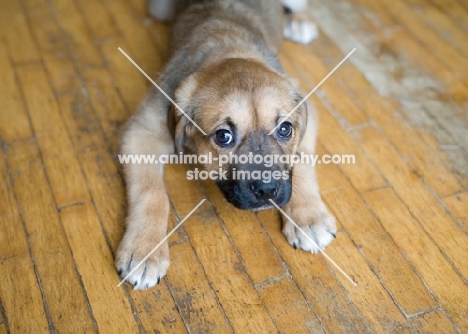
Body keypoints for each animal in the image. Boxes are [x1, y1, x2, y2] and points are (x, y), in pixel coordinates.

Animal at [117, 0, 336, 290]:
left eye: (285, 129)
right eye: (223, 136)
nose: (267, 190)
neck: (228, 48)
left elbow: (302, 164)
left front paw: (308, 217)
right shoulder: (143, 131)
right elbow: (151, 192)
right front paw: (144, 250)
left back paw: (299, 23)